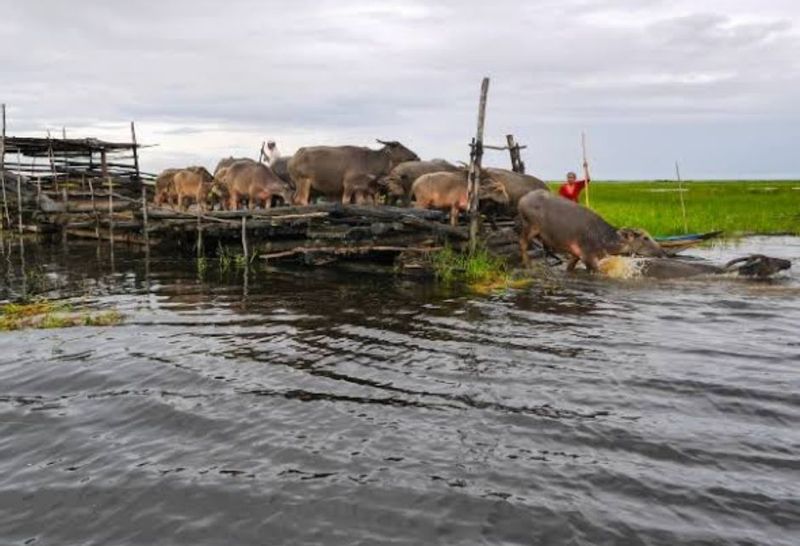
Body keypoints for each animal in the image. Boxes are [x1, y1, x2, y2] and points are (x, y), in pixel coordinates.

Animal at [288, 139, 418, 205]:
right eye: (399, 146)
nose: (416, 156)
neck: (370, 162)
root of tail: (294, 159)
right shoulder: (349, 185)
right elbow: (345, 201)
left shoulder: (361, 189)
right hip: (304, 181)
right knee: (300, 199)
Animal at [520, 188, 664, 270]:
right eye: (645, 238)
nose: (663, 252)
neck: (604, 239)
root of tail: (523, 199)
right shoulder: (588, 256)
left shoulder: (576, 254)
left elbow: (569, 267)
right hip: (529, 226)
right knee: (523, 244)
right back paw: (528, 265)